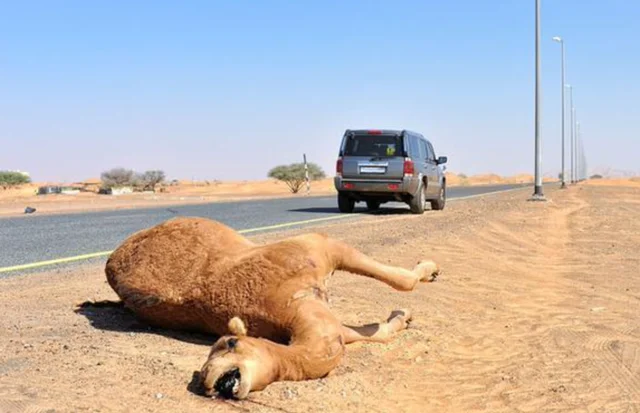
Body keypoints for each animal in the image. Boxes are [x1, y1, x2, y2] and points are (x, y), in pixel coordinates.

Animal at [106, 216, 440, 400]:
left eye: (230, 342)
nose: (209, 380)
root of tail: (111, 259)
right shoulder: (320, 311)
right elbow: (378, 325)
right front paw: (406, 311)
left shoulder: (319, 248)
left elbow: (399, 287)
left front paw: (425, 279)